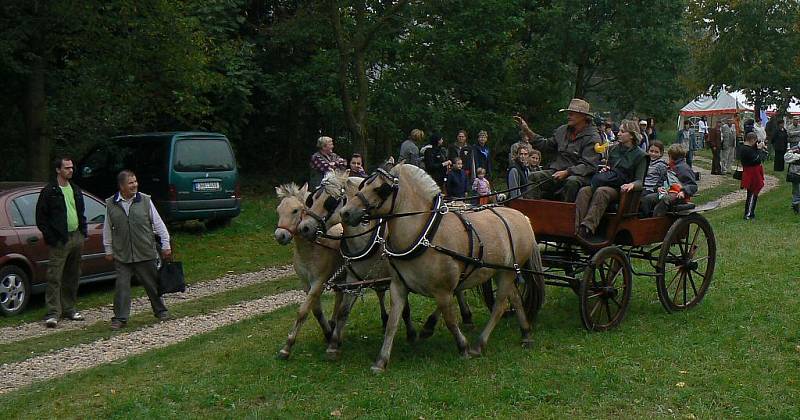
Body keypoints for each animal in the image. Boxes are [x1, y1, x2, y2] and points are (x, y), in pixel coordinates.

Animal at [274, 182, 342, 360]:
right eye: (278, 210)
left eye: (295, 210)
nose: (280, 236)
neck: (312, 248)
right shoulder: (306, 284)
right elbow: (316, 311)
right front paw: (328, 333)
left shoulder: (319, 282)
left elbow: (302, 311)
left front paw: (287, 346)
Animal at [338, 165, 544, 374]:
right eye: (364, 185)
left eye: (380, 189)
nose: (345, 213)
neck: (423, 235)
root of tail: (522, 216)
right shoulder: (398, 286)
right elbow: (392, 323)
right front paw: (381, 361)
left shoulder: (444, 290)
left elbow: (450, 319)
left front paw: (463, 347)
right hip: (499, 271)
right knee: (516, 298)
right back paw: (526, 333)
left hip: (507, 272)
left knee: (500, 306)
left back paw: (479, 344)